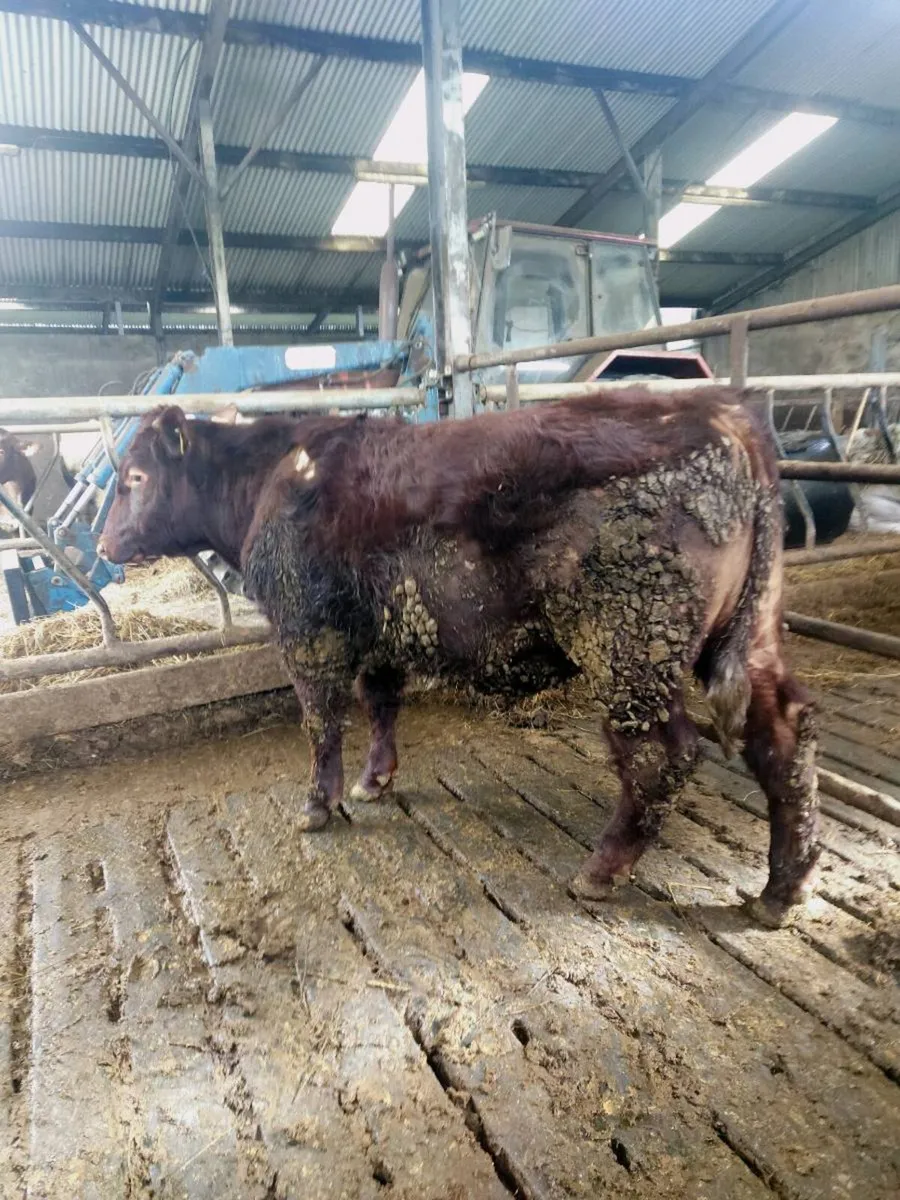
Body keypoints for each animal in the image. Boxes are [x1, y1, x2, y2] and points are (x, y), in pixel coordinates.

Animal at [98, 389, 820, 928]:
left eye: (134, 477)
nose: (104, 545)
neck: (273, 476)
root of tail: (719, 413)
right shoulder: (377, 633)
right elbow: (380, 702)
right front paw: (375, 779)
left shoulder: (308, 634)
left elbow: (322, 723)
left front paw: (317, 805)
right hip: (750, 635)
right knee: (782, 734)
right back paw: (780, 891)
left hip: (629, 650)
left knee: (661, 756)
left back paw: (602, 870)